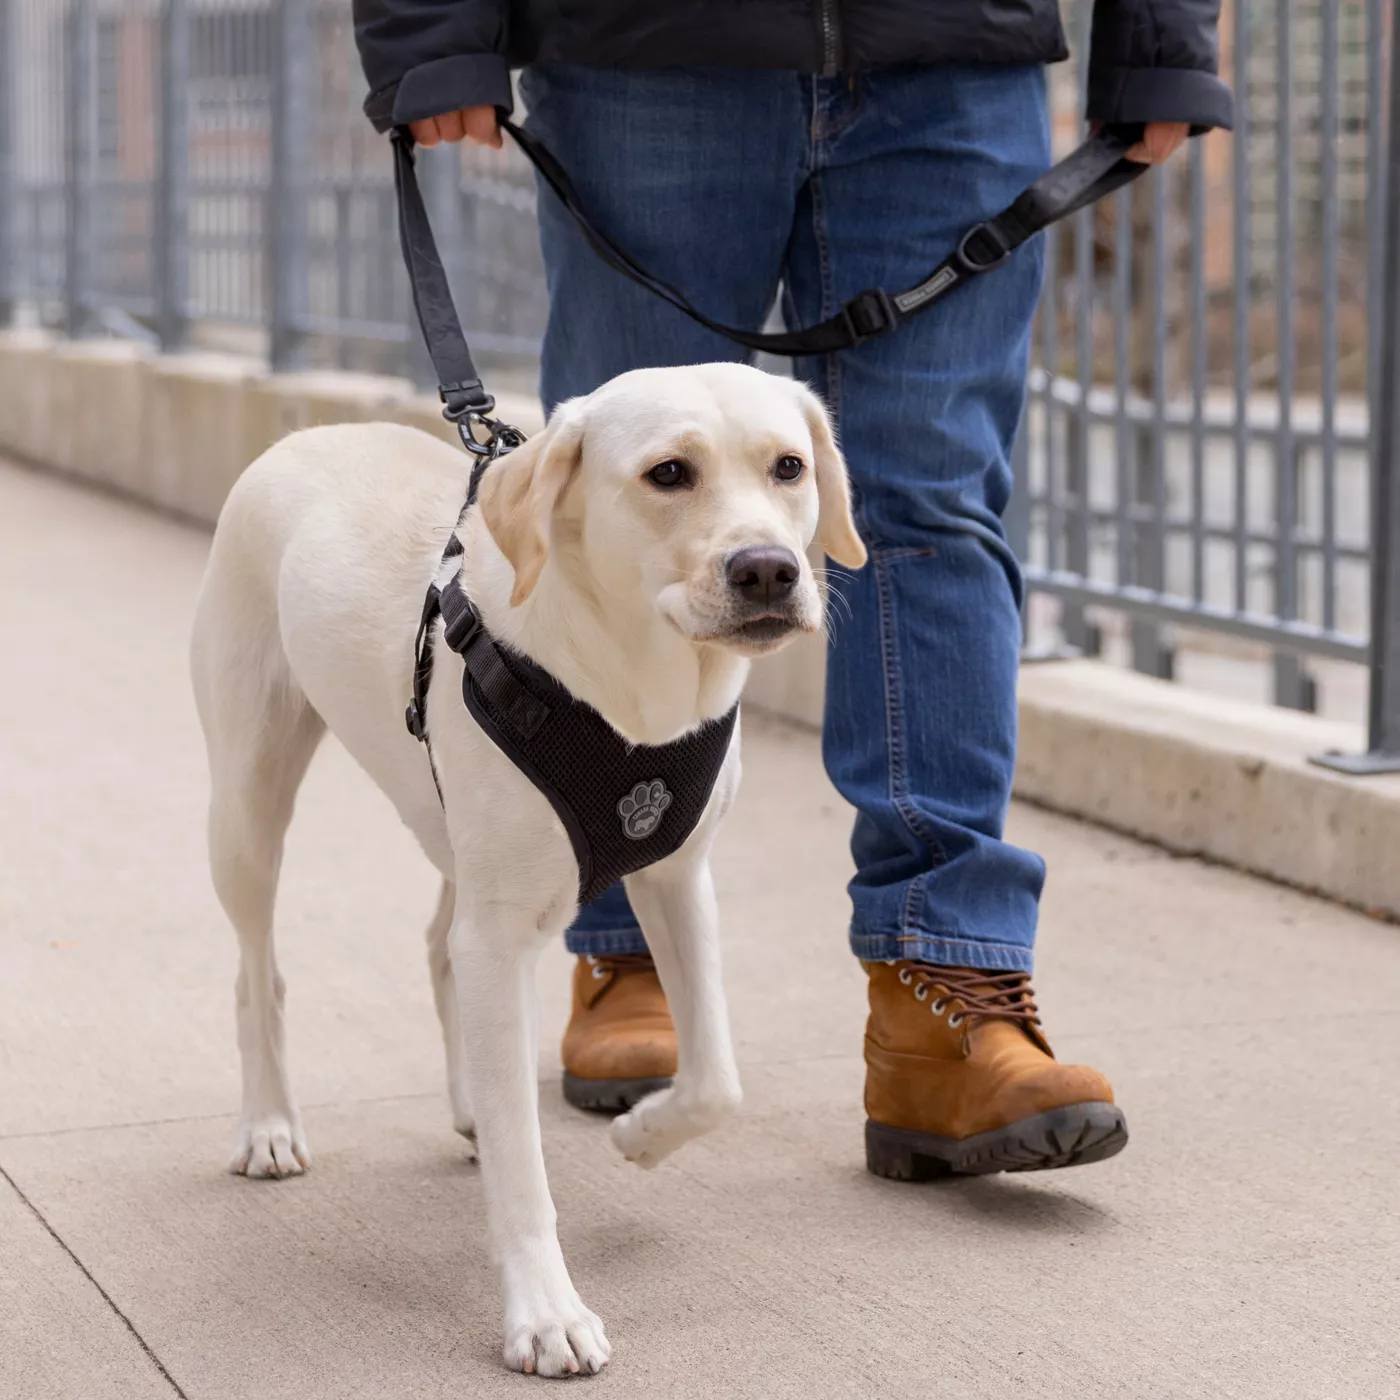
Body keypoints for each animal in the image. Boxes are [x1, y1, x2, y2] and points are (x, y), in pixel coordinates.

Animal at [186, 364, 862, 1377]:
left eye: (789, 467)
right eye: (669, 473)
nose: (768, 570)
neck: (636, 691)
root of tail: (306, 434)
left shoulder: (678, 879)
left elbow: (716, 1080)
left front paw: (642, 1136)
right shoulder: (506, 931)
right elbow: (523, 1165)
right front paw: (546, 1314)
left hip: (453, 835)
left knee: (441, 949)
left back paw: (468, 1102)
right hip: (248, 799)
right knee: (255, 970)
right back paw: (269, 1125)